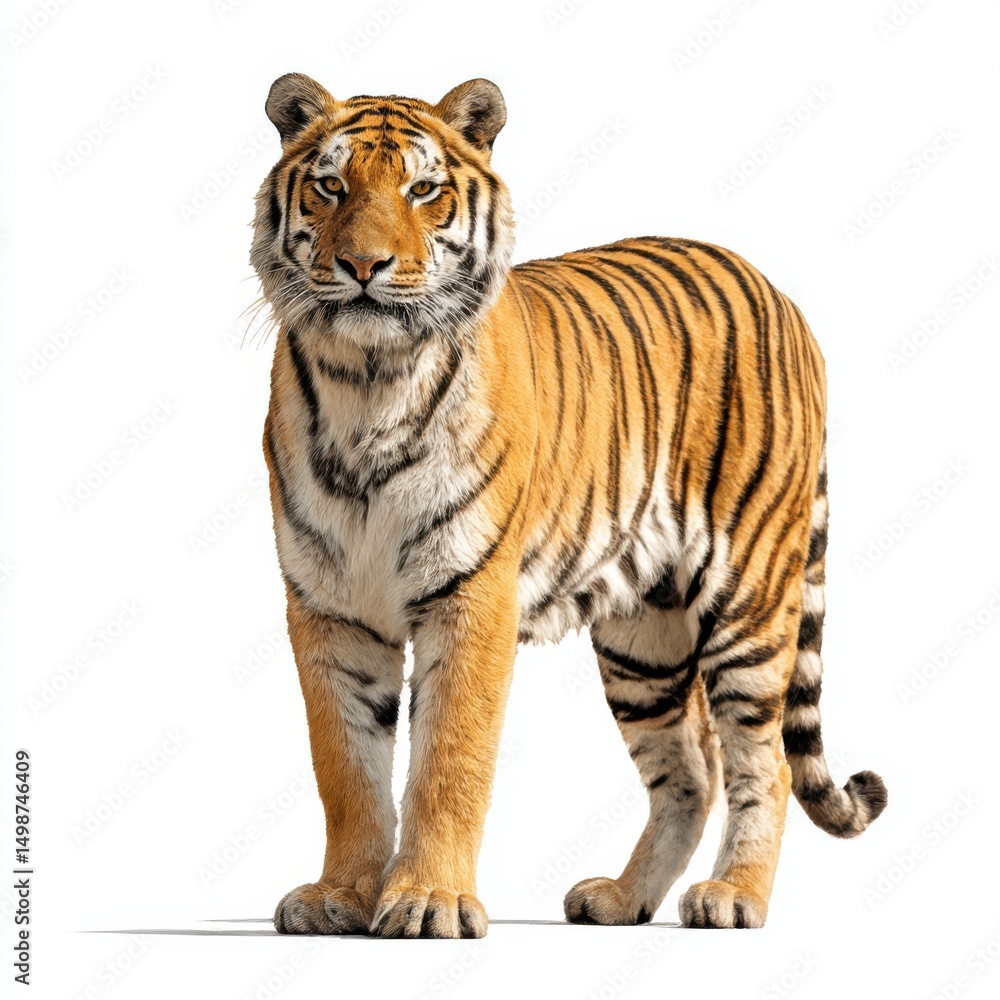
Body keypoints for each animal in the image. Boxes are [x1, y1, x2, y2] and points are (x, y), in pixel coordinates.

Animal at [251, 72, 887, 938]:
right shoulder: (327, 606)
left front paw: (428, 901)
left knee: (764, 761)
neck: (367, 382)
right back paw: (621, 898)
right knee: (691, 768)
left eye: (423, 190)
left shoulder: (470, 596)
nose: (362, 264)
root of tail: (775, 288)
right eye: (330, 186)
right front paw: (340, 897)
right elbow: (344, 766)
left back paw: (734, 895)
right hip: (644, 639)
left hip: (750, 599)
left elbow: (448, 759)